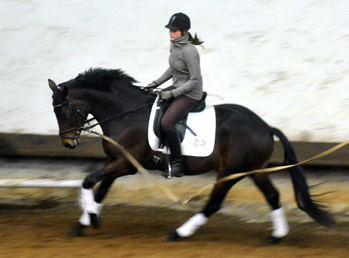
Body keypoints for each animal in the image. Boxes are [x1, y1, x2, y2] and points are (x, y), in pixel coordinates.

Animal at [47, 68, 334, 242]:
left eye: (62, 111)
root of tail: (265, 127)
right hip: (253, 170)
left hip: (231, 172)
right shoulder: (115, 161)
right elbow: (101, 190)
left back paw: (179, 233)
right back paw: (277, 236)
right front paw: (86, 221)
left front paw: (91, 219)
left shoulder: (126, 165)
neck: (126, 113)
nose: (68, 143)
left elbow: (88, 181)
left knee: (214, 204)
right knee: (272, 196)